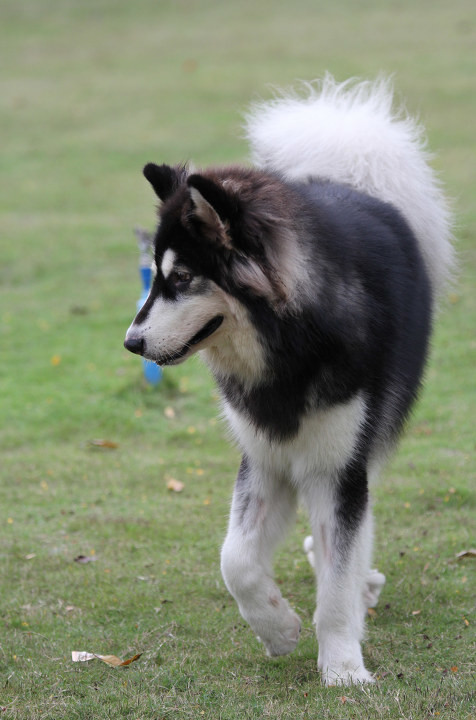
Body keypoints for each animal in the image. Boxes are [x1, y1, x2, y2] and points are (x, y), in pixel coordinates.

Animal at [124, 77, 452, 688]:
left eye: (183, 277)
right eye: (155, 276)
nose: (131, 343)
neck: (289, 346)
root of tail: (350, 178)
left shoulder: (335, 465)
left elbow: (337, 579)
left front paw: (343, 665)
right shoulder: (264, 458)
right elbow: (235, 561)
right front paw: (278, 630)